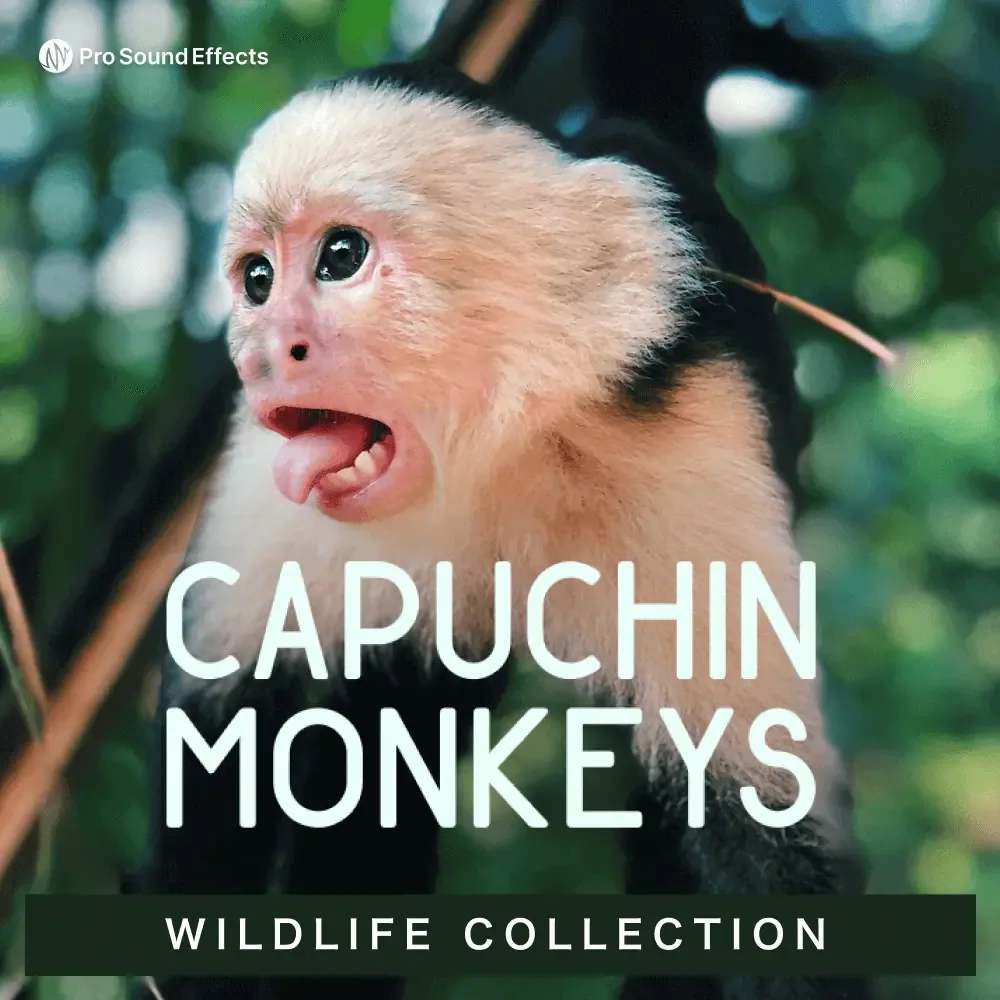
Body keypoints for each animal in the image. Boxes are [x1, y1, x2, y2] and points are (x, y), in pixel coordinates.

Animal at [130, 60, 871, 1000]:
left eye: (341, 257)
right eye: (256, 279)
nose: (263, 351)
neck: (486, 449)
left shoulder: (688, 432)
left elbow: (754, 815)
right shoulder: (268, 473)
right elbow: (225, 733)